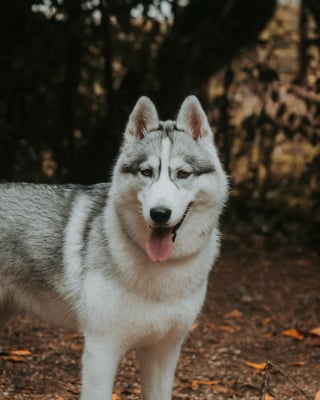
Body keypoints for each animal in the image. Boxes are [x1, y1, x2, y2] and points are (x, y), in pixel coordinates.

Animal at [1, 97, 229, 400]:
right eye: (147, 172)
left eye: (182, 174)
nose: (159, 213)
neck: (160, 272)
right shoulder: (101, 351)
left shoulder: (163, 352)